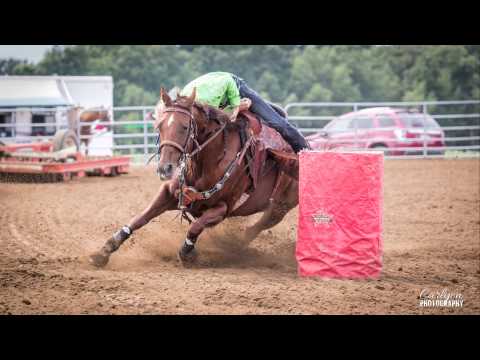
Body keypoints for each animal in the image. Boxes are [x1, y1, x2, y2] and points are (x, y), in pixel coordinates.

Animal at [89, 87, 298, 268]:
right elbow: (140, 218)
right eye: (159, 126)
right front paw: (105, 250)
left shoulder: (223, 208)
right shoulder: (171, 192)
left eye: (184, 127)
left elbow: (195, 226)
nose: (165, 168)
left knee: (257, 227)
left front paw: (187, 254)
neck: (206, 163)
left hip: (280, 207)